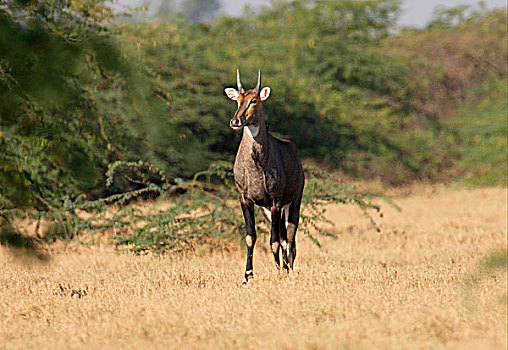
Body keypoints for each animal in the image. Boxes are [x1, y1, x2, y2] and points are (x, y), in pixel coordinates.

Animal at [224, 69, 304, 284]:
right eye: (237, 100)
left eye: (254, 100)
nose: (235, 121)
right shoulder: (246, 199)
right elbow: (250, 237)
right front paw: (247, 276)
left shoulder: (276, 200)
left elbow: (274, 241)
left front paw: (278, 272)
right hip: (267, 210)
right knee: (285, 239)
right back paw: (284, 267)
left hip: (292, 203)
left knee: (289, 239)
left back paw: (288, 269)